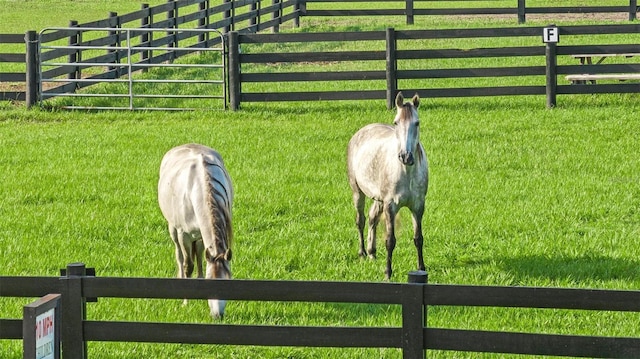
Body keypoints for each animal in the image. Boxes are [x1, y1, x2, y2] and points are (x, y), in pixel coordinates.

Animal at [159, 143, 234, 318]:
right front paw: (186, 302)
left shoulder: (200, 234)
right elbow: (188, 265)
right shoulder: (183, 235)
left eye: (227, 281)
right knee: (179, 256)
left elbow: (200, 258)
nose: (217, 315)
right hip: (173, 230)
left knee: (199, 253)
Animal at [348, 93, 428, 282]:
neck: (406, 172)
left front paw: (421, 268)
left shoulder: (418, 206)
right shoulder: (391, 206)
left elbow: (418, 238)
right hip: (358, 193)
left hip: (378, 199)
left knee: (372, 219)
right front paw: (387, 273)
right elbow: (390, 241)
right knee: (361, 220)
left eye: (417, 123)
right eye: (396, 122)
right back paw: (362, 253)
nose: (406, 156)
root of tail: (362, 131)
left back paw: (372, 252)